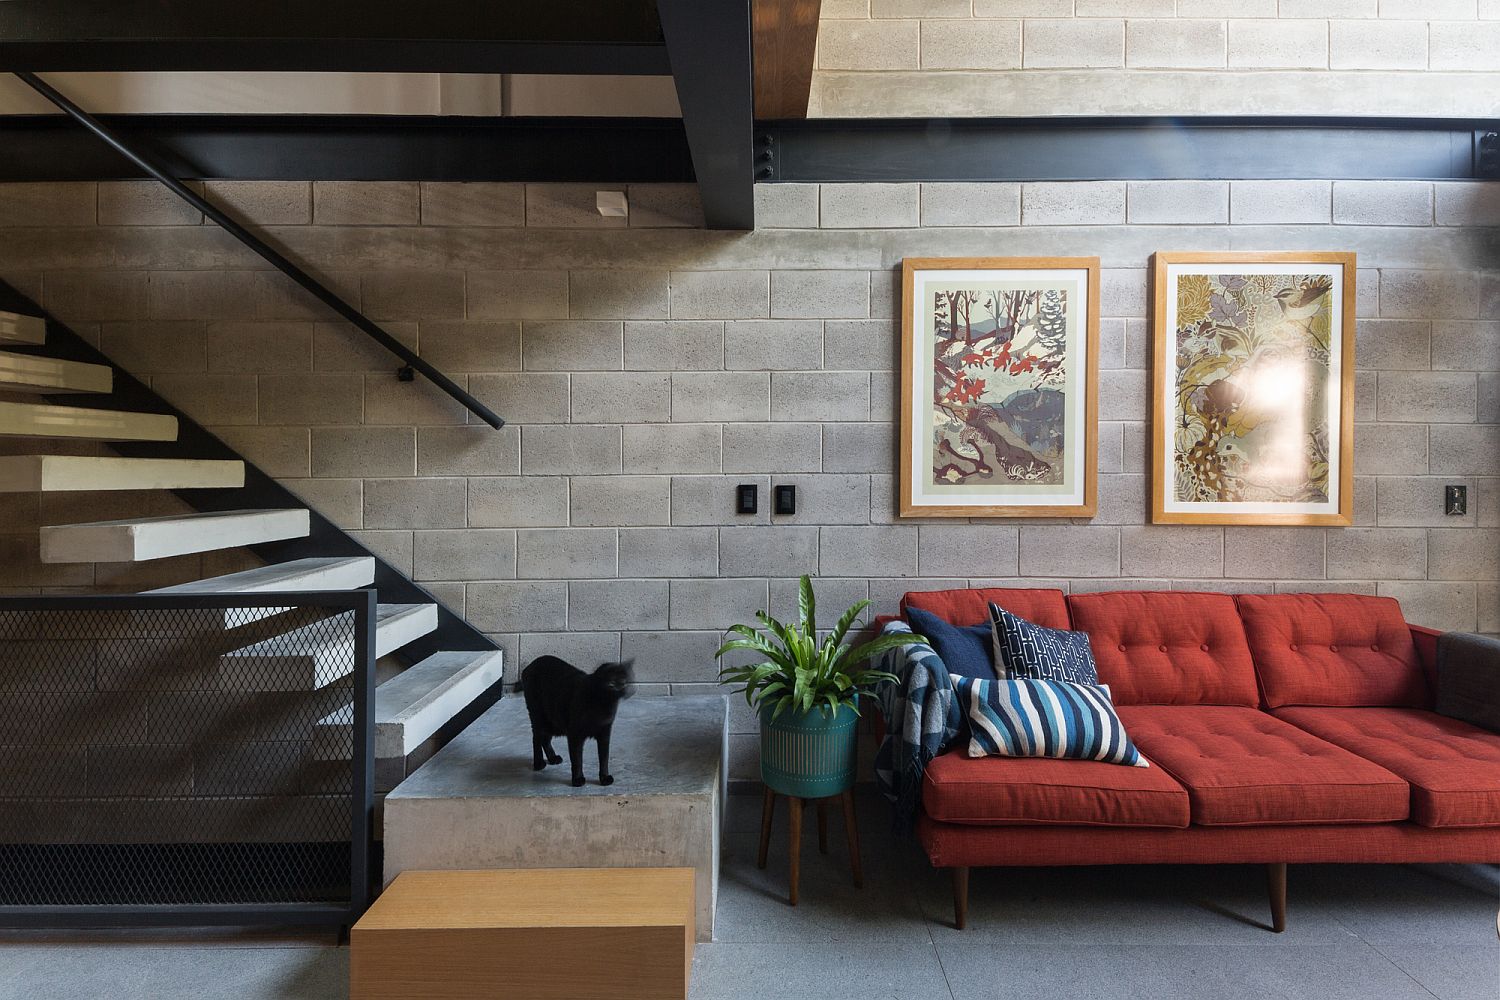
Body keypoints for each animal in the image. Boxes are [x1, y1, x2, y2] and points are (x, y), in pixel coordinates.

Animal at [522, 656, 633, 791]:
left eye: (625, 681)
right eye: (611, 683)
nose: (626, 691)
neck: (603, 706)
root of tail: (530, 666)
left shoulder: (605, 733)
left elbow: (604, 758)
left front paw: (604, 778)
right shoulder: (575, 735)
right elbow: (577, 759)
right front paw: (578, 779)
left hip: (554, 723)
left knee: (545, 739)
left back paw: (553, 758)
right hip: (539, 717)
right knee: (536, 738)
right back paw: (538, 763)